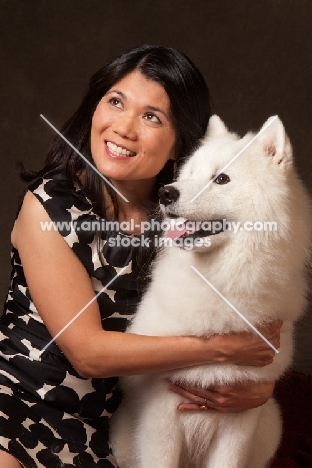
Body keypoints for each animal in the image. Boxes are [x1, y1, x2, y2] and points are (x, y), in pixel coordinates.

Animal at [111, 116, 310, 468]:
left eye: (222, 179)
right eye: (188, 174)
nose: (165, 192)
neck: (219, 279)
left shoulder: (241, 414)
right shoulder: (160, 414)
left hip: (270, 424)